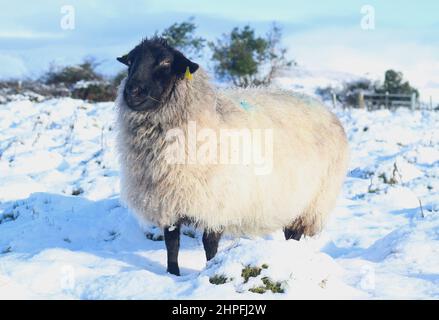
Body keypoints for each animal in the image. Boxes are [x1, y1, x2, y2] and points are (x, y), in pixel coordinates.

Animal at [116, 37, 350, 276]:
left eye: (165, 62)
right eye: (131, 61)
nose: (132, 91)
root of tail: (327, 110)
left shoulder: (218, 203)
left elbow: (209, 244)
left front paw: (210, 269)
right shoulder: (168, 202)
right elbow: (172, 244)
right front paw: (173, 274)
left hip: (313, 203)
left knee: (294, 233)